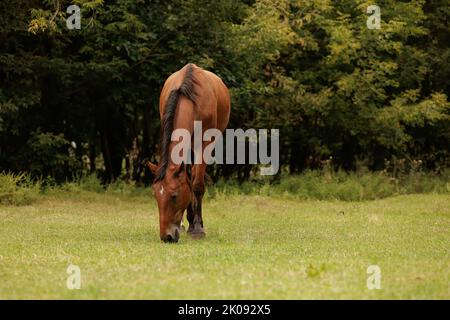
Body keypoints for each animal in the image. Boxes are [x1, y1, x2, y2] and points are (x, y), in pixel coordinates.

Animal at [148, 63, 230, 242]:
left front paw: (197, 228)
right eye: (156, 196)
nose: (167, 237)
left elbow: (197, 185)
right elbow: (188, 181)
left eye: (174, 196)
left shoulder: (205, 145)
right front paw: (189, 222)